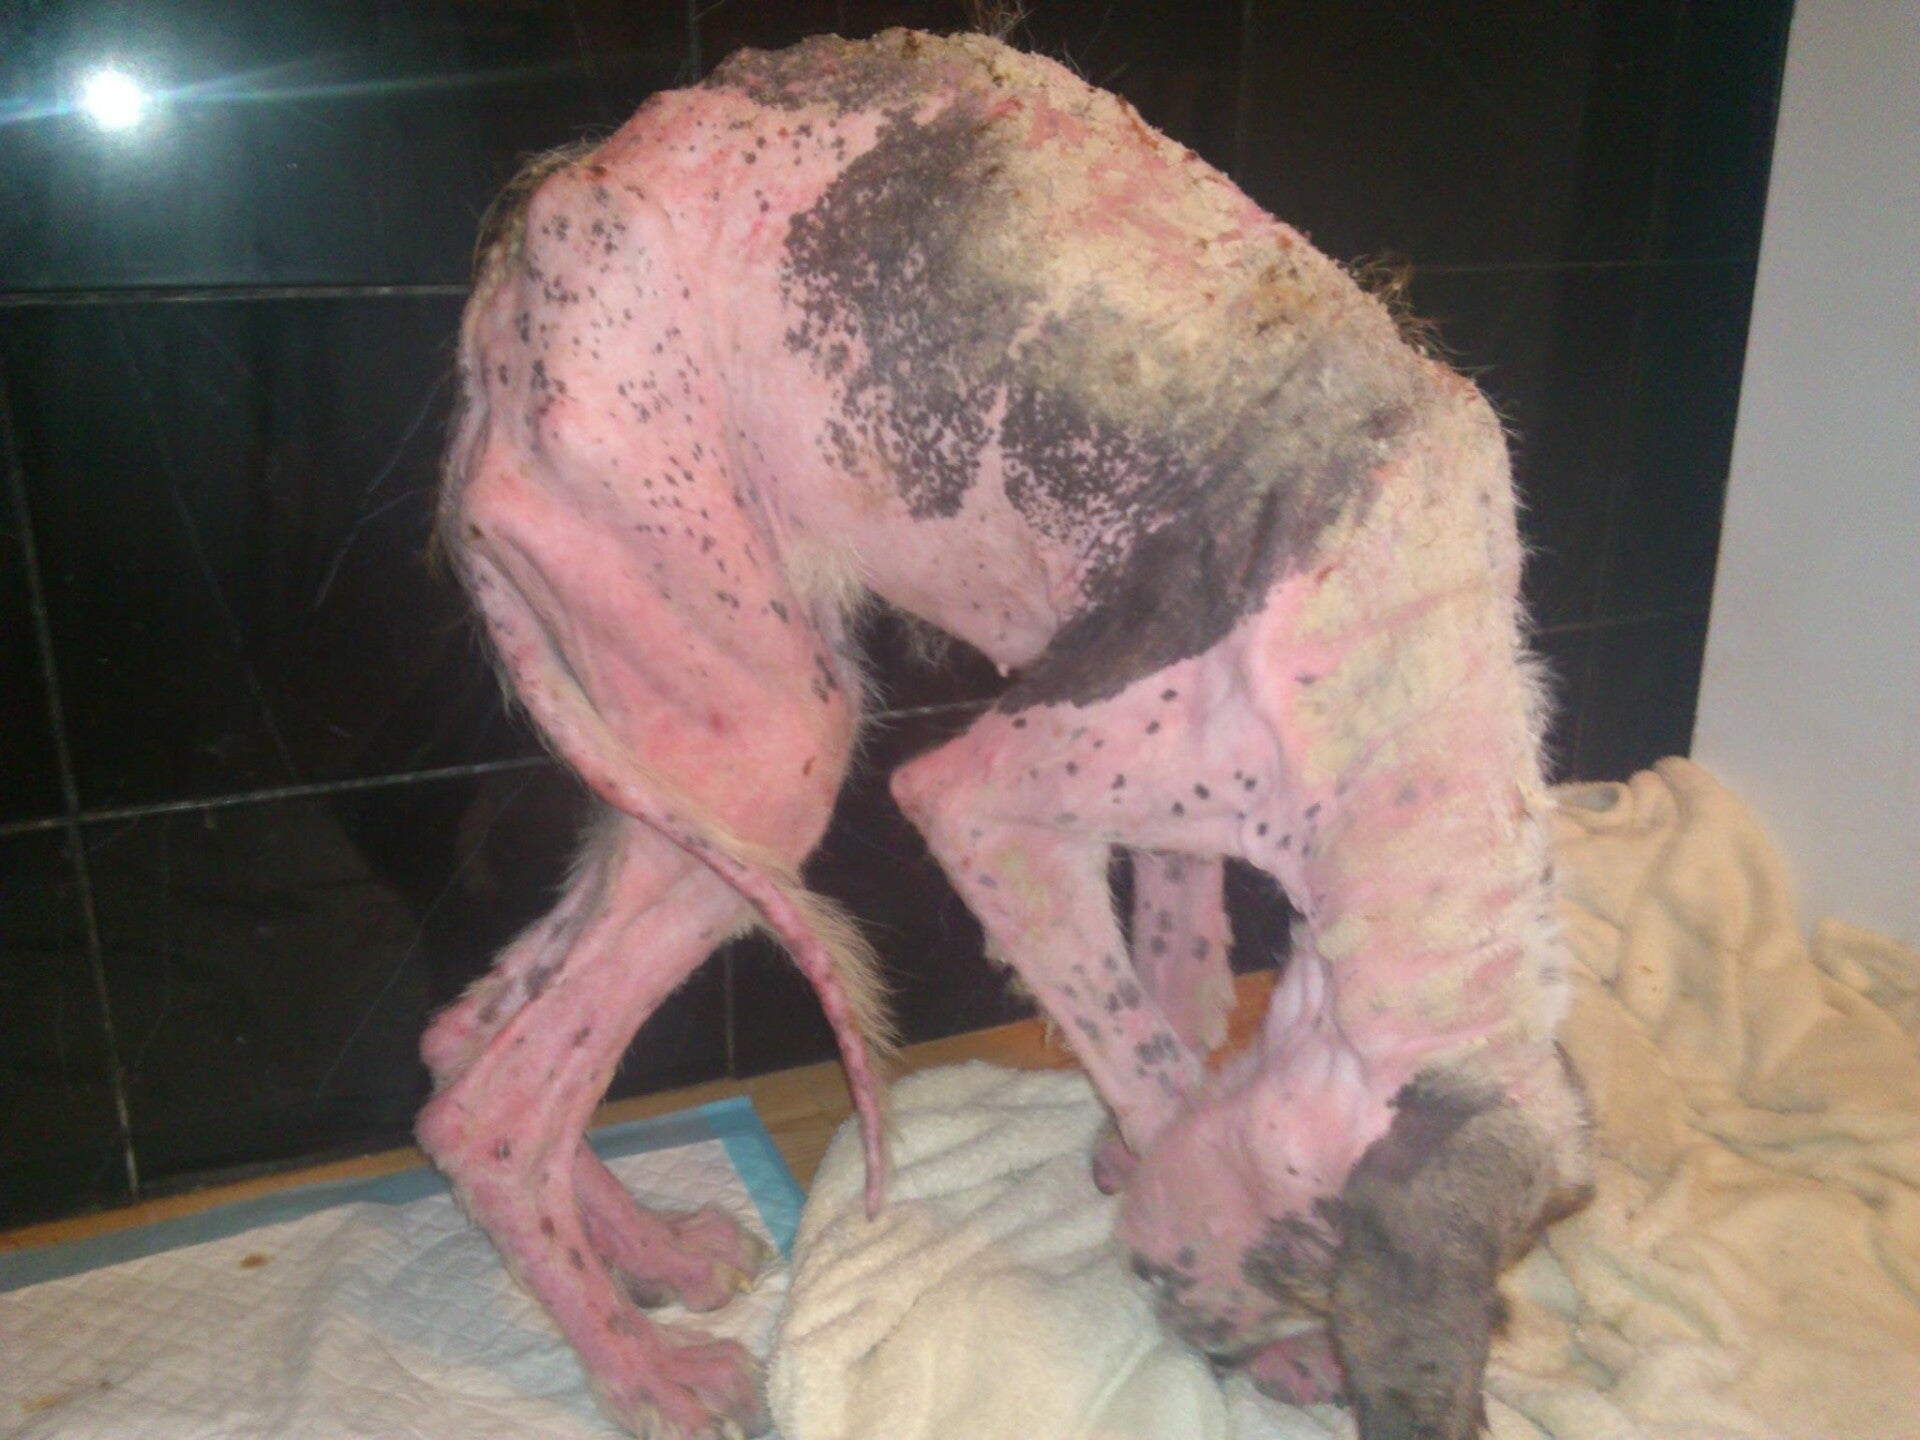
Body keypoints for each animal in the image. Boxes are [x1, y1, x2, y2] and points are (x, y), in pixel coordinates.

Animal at [417, 30, 1592, 1440]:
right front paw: (1248, 1312)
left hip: (669, 757)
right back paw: (646, 1373)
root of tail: (521, 253)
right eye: (1312, 1267)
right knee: (492, 1112)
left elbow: (1177, 1000)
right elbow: (1153, 1060)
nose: (1206, 1331)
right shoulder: (983, 805)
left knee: (466, 1039)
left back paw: (654, 1255)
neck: (1409, 681)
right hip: (771, 745)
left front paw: (1127, 1154)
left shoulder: (1178, 827)